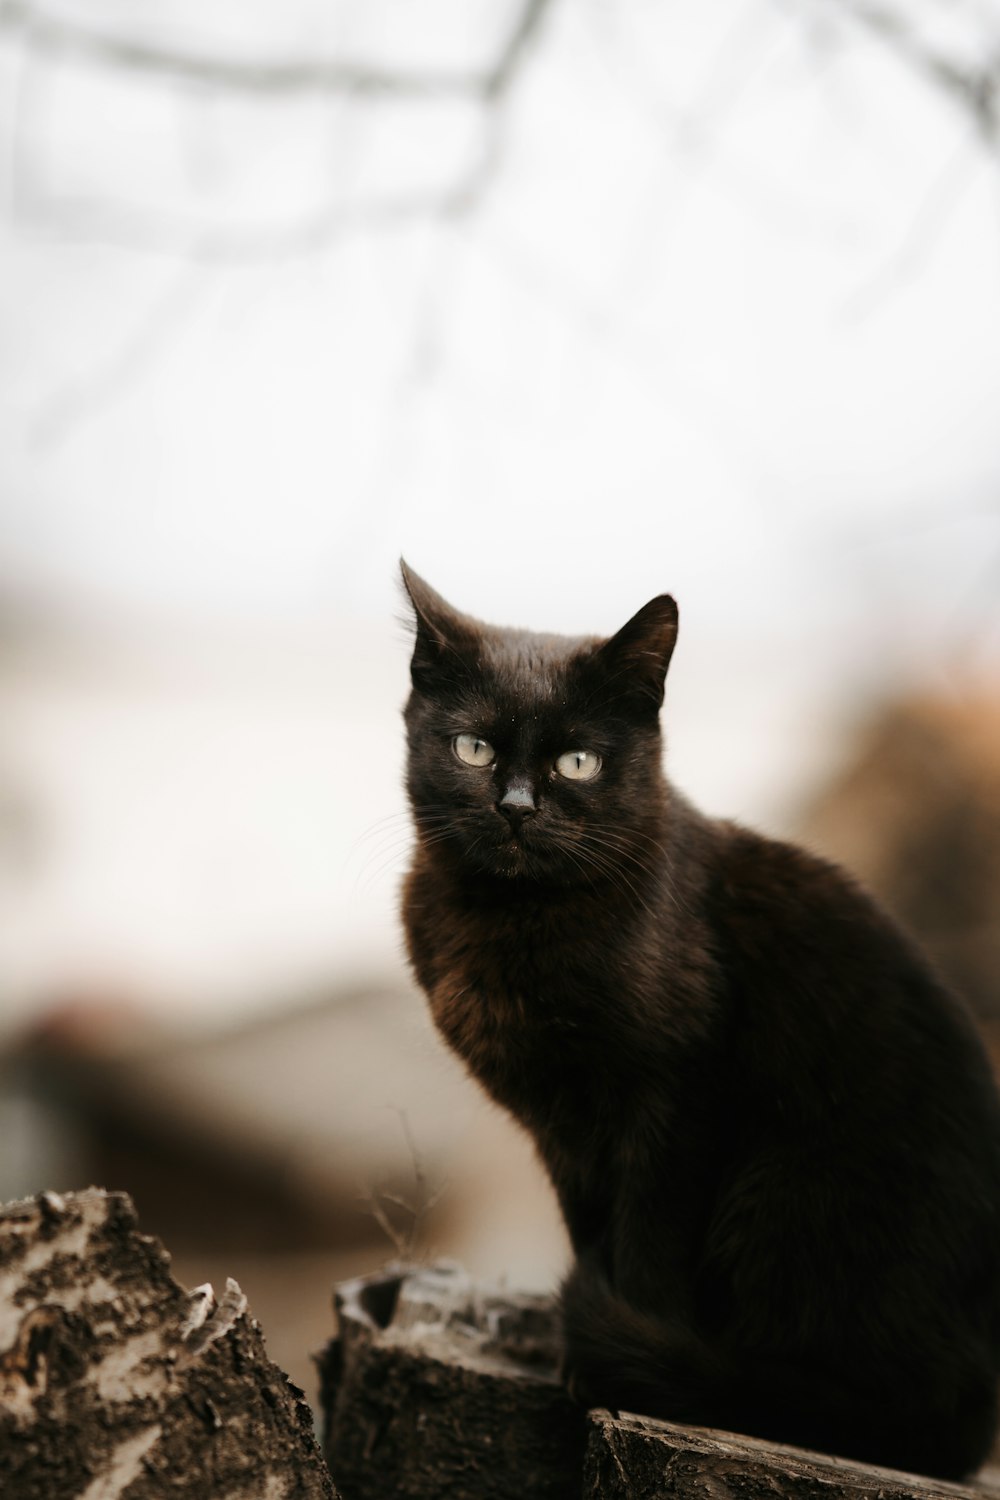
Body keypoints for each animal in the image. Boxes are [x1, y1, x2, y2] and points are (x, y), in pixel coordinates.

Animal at [398, 564, 1000, 1476]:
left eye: (578, 762)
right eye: (474, 749)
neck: (512, 920)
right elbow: (591, 1231)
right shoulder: (564, 1131)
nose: (517, 807)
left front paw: (614, 1363)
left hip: (784, 1192)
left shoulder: (677, 1097)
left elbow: (647, 1237)